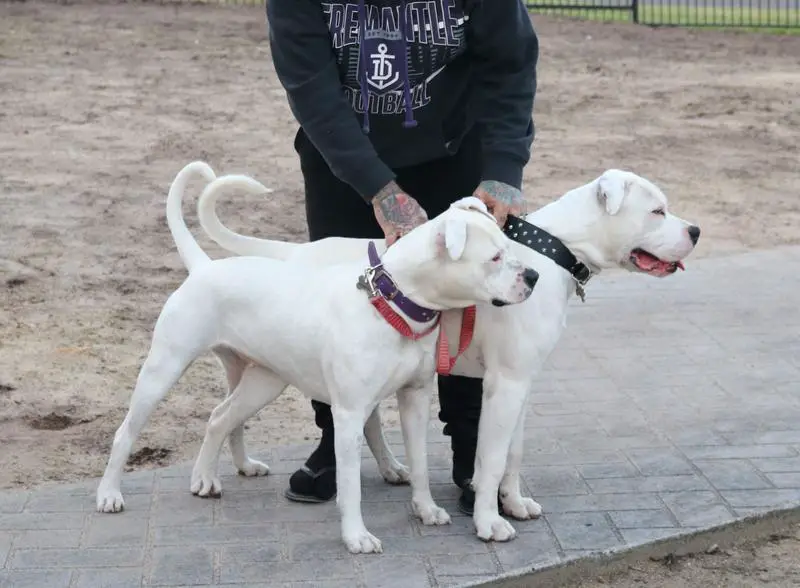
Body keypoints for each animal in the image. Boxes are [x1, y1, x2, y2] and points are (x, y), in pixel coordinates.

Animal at [97, 158, 540, 552]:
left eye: (509, 247)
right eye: (494, 258)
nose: (533, 276)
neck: (391, 303)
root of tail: (203, 267)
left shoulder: (414, 398)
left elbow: (419, 466)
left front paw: (426, 509)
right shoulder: (348, 414)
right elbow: (351, 486)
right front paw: (356, 537)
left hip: (260, 381)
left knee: (221, 418)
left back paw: (213, 475)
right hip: (164, 369)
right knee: (126, 433)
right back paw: (109, 494)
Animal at [194, 165, 700, 544]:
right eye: (657, 210)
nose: (695, 230)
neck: (552, 252)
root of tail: (291, 253)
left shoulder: (522, 384)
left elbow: (513, 453)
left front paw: (513, 503)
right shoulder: (505, 384)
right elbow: (491, 458)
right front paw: (489, 521)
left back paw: (392, 468)